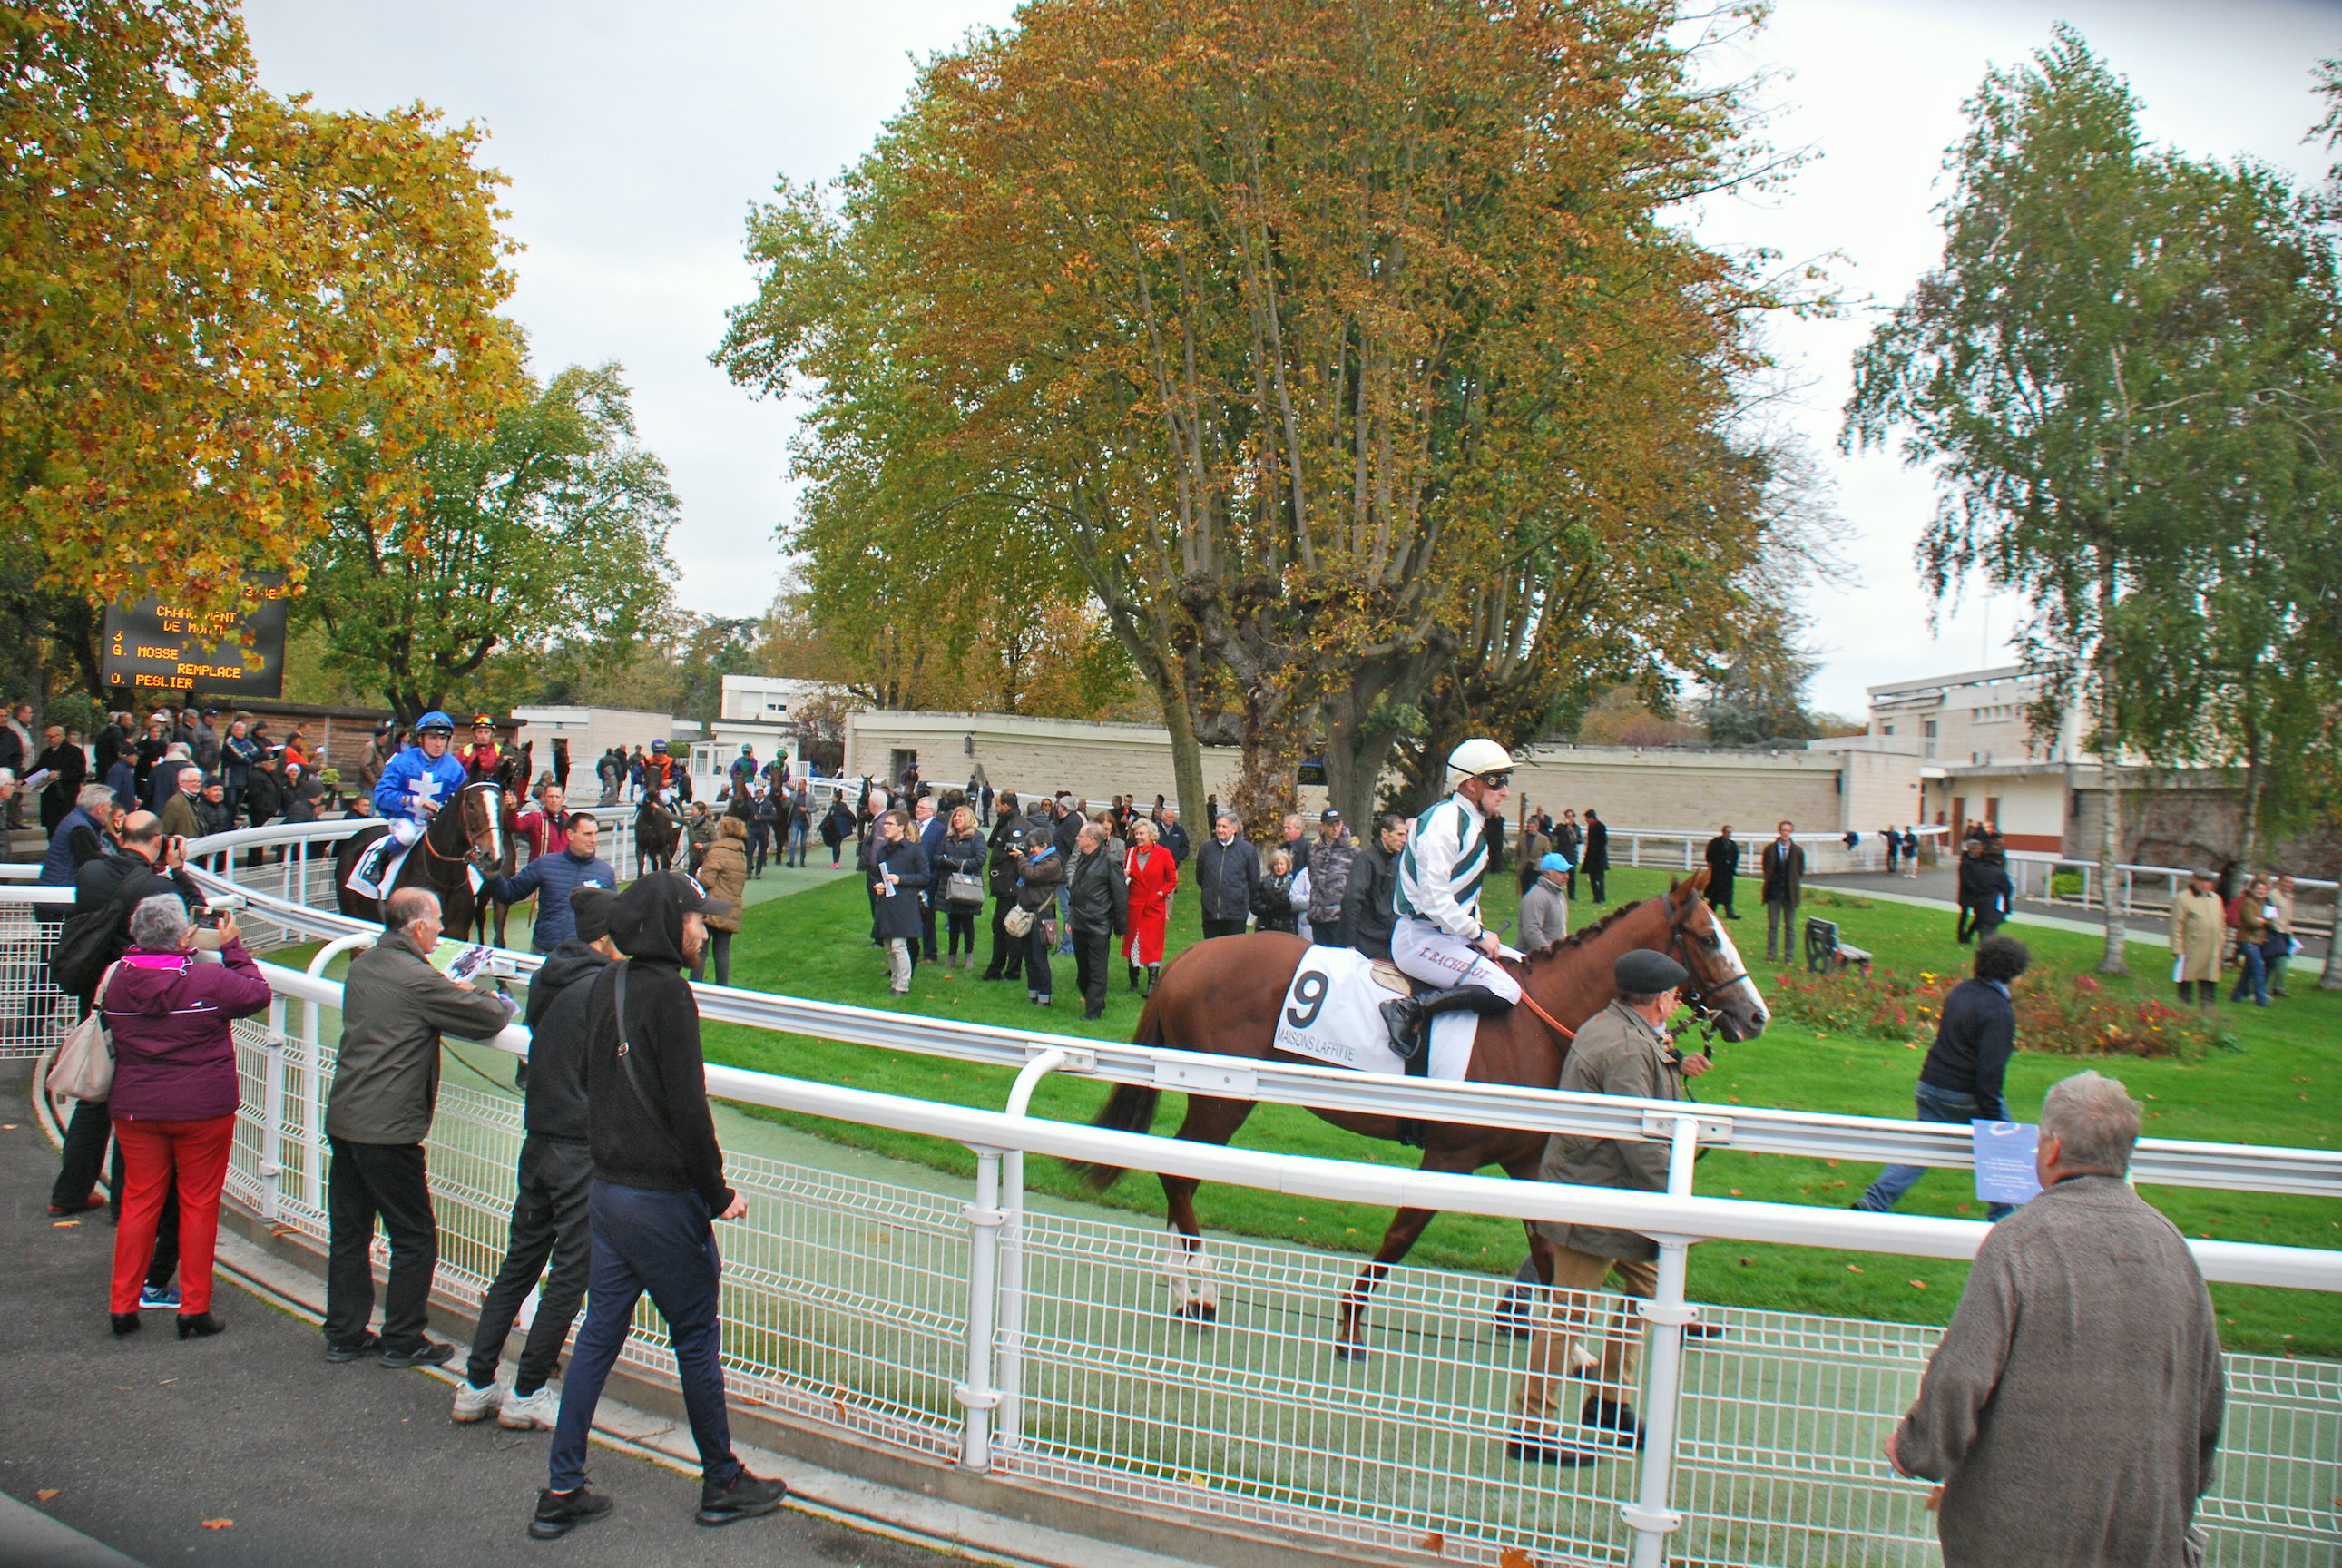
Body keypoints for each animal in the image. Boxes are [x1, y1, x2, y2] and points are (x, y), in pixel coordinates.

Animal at [1073, 879, 1760, 1357]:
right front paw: (1350, 1322)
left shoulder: (1525, 1158)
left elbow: (1546, 1251)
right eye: (1706, 938)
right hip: (1223, 1100)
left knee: (1178, 1174)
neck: (1534, 1023)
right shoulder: (1451, 1156)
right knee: (1180, 1176)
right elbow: (1403, 1234)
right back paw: (1203, 1291)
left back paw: (1183, 1288)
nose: (1756, 1016)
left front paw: (1576, 1351)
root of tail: (1184, 962)